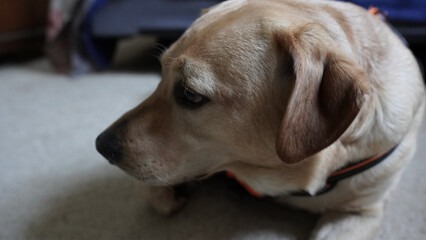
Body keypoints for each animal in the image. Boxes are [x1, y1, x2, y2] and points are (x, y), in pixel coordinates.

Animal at [97, 0, 426, 239]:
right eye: (161, 73)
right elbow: (152, 191)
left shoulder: (361, 212)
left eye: (190, 94)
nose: (102, 145)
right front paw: (169, 192)